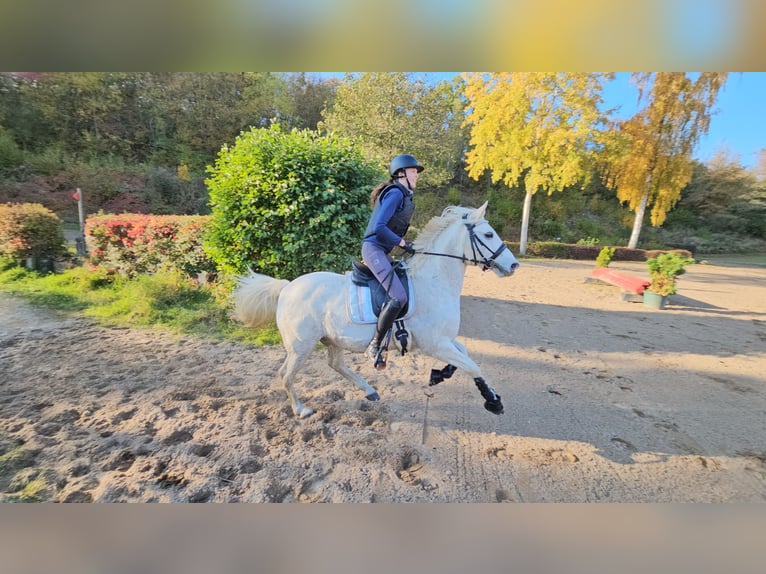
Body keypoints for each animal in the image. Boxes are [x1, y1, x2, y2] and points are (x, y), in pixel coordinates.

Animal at [232, 202, 520, 418]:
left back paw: (369, 390)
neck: (434, 281)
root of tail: (287, 287)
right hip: (301, 346)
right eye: (488, 234)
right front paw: (493, 402)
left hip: (332, 339)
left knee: (336, 364)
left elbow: (465, 357)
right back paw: (301, 410)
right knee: (286, 374)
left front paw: (440, 375)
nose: (514, 265)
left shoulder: (445, 340)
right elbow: (473, 366)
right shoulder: (435, 344)